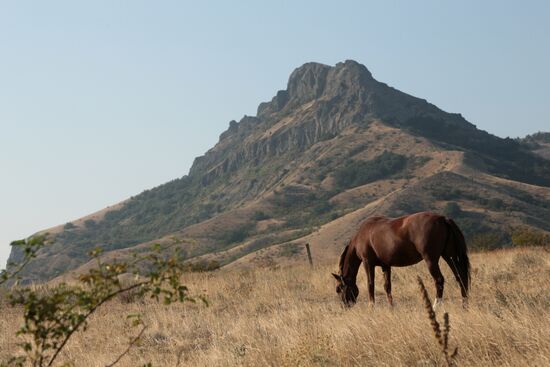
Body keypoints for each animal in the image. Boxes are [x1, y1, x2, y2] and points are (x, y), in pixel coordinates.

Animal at [334, 211, 472, 310]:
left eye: (339, 288)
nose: (344, 306)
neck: (363, 235)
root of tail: (443, 218)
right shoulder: (386, 265)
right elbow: (387, 286)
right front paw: (391, 307)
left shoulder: (368, 264)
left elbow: (370, 284)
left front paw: (371, 307)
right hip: (450, 257)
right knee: (460, 277)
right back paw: (464, 305)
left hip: (431, 260)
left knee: (439, 280)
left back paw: (435, 306)